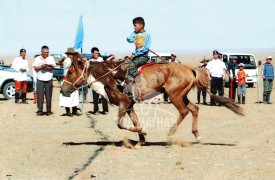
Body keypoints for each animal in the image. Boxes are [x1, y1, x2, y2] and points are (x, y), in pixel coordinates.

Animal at [60, 52, 244, 148]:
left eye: (70, 72)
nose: (63, 90)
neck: (110, 77)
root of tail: (190, 69)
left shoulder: (124, 103)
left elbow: (120, 124)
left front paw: (143, 134)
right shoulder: (130, 104)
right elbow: (135, 121)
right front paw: (140, 139)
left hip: (174, 95)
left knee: (184, 111)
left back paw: (170, 135)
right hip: (182, 95)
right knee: (194, 109)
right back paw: (197, 136)